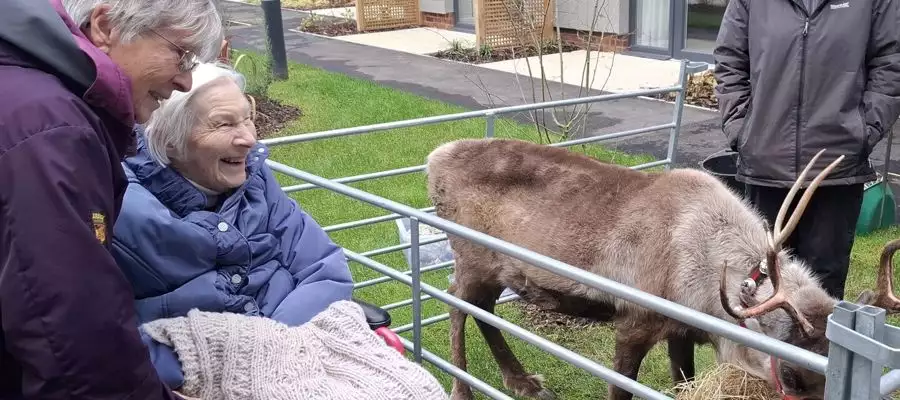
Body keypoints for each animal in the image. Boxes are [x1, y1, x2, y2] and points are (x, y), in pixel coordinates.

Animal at [423, 137, 900, 400]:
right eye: (791, 377)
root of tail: (434, 160)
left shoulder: (682, 331)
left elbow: (681, 381)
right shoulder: (634, 322)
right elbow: (621, 388)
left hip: (496, 271)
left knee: (484, 310)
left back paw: (521, 381)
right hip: (470, 257)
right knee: (456, 306)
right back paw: (462, 390)